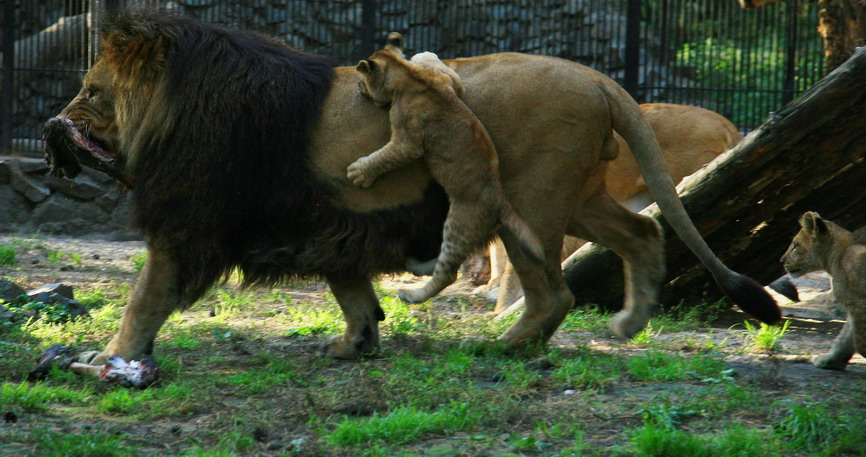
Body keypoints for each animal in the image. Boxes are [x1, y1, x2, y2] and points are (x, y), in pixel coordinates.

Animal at [346, 48, 540, 304]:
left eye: (363, 78)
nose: (358, 84)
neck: (407, 77)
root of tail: (500, 201)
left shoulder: (409, 141)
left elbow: (385, 156)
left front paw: (358, 173)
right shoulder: (451, 82)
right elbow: (443, 71)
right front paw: (422, 55)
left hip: (460, 222)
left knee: (448, 272)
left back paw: (411, 295)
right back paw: (414, 265)